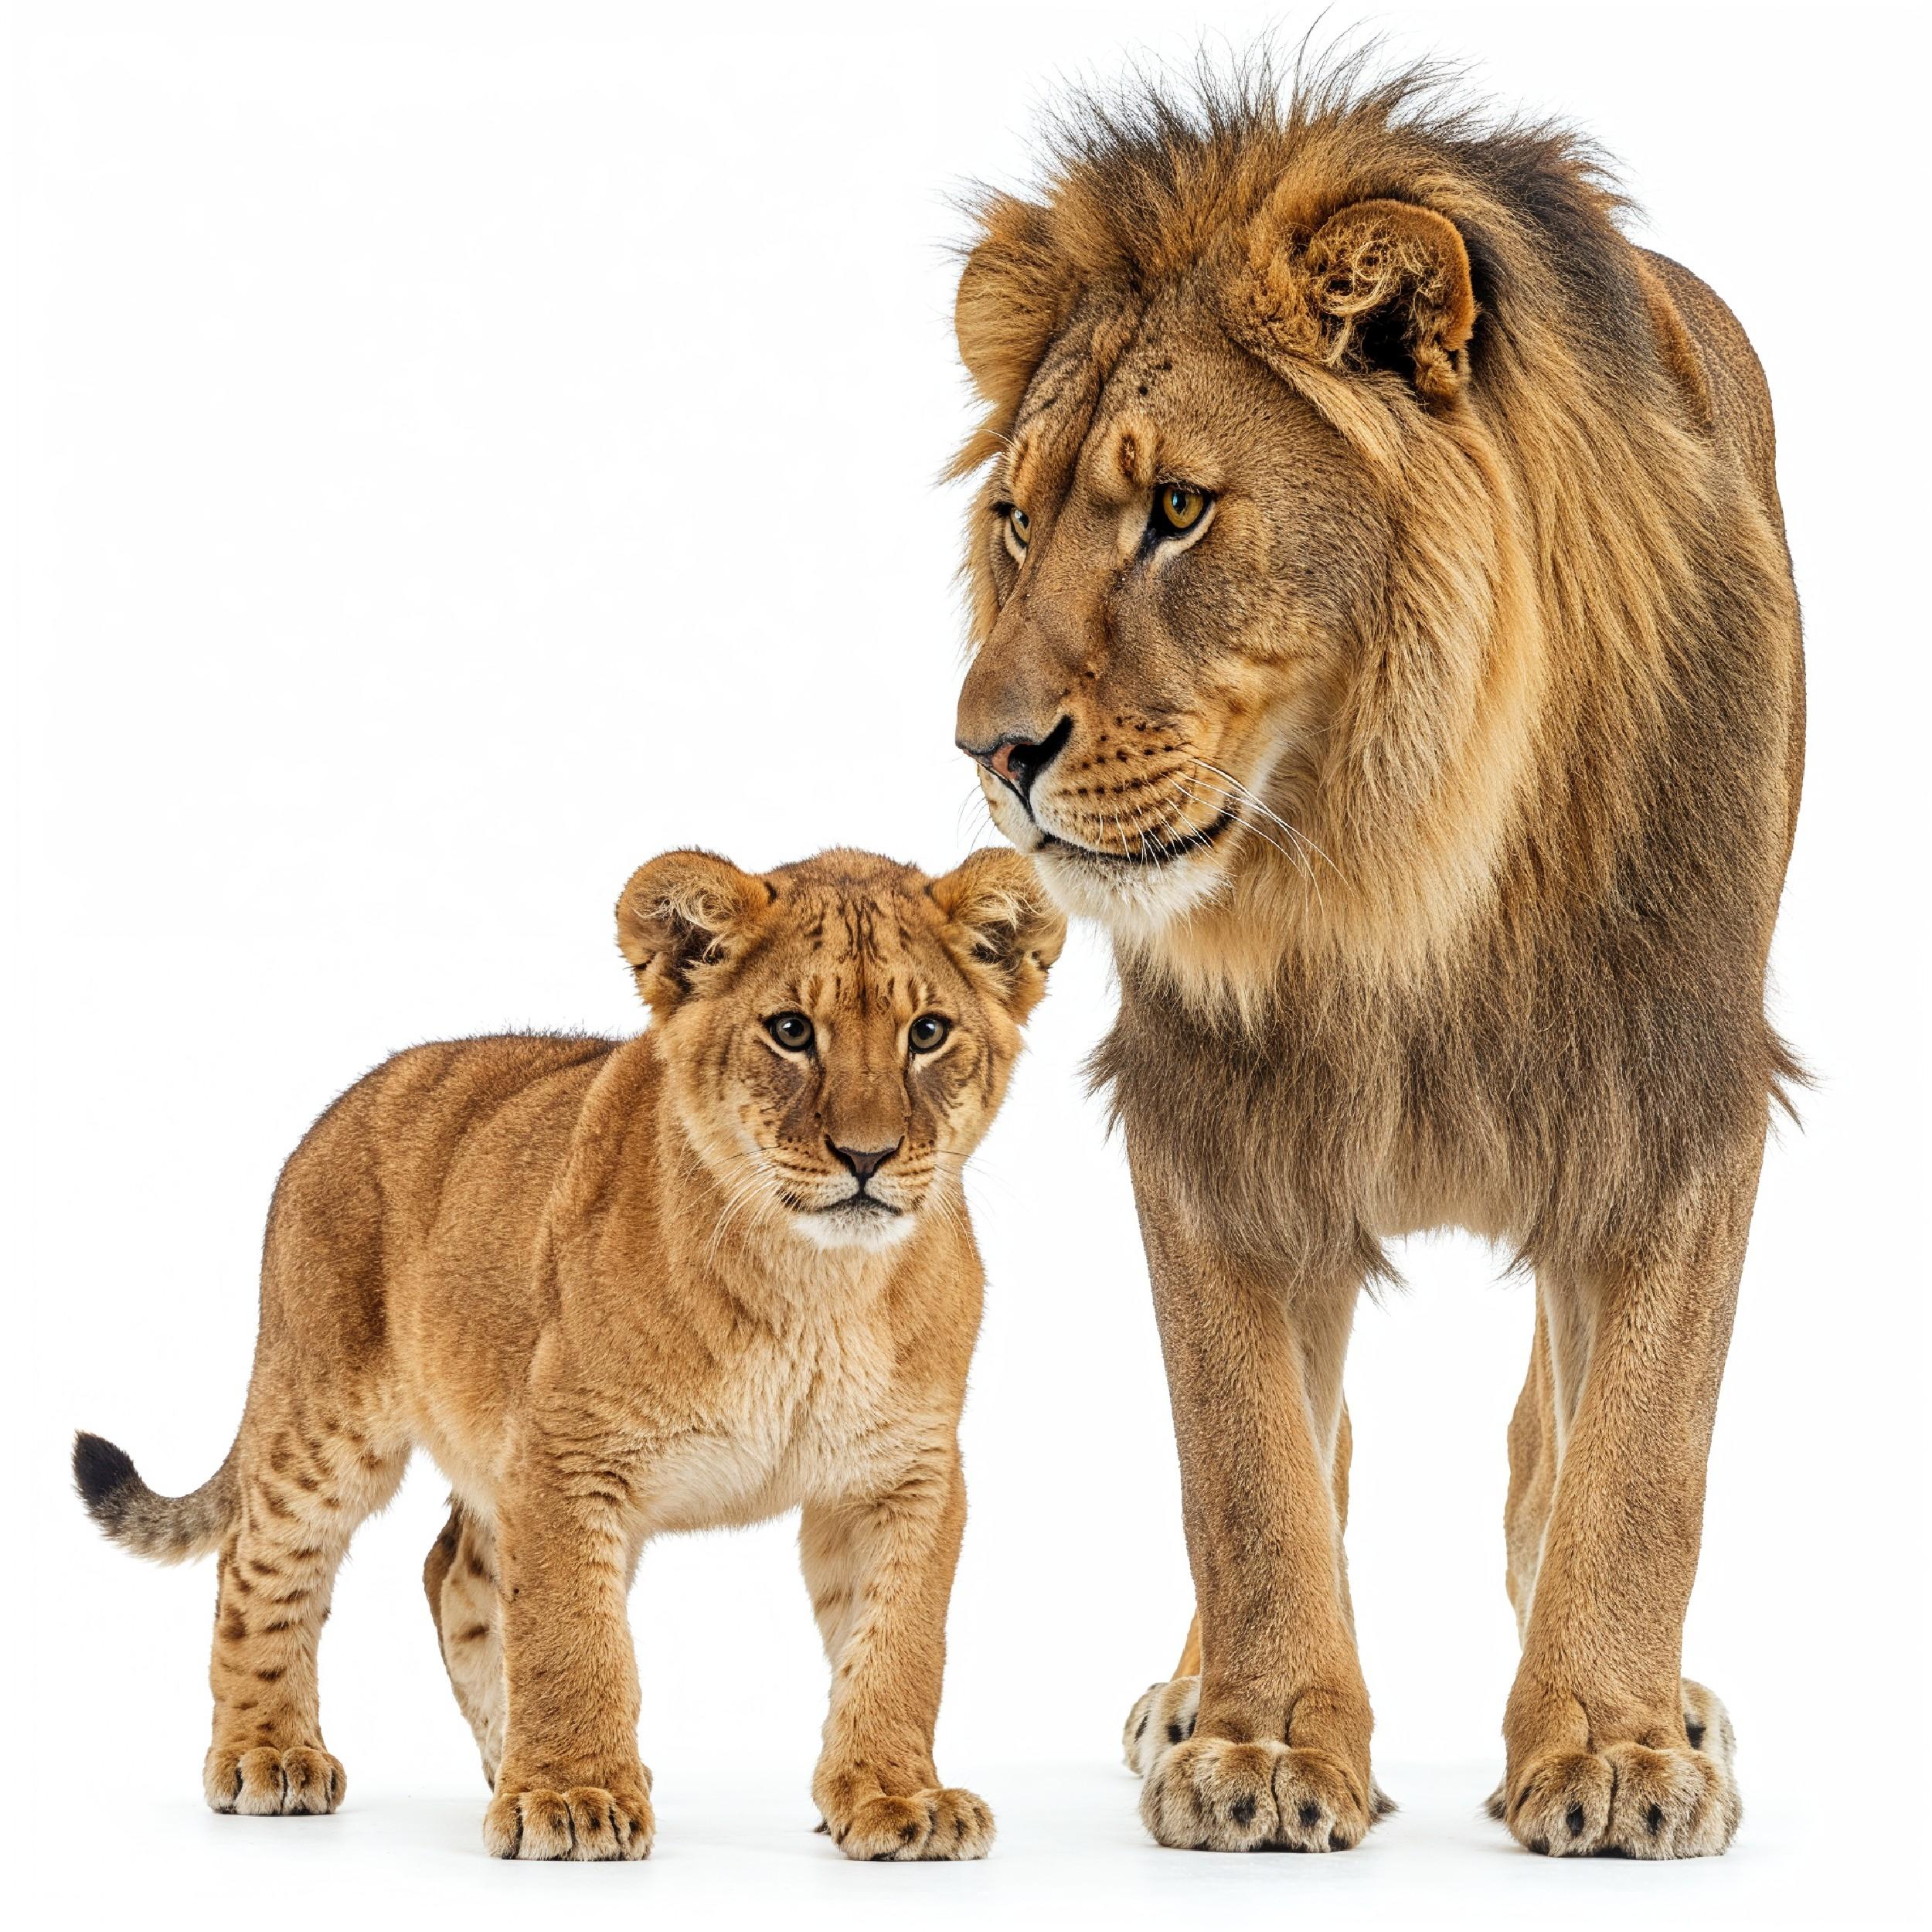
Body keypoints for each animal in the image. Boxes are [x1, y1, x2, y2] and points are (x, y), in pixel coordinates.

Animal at [74, 845, 1063, 1862]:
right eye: (791, 1031)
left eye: (928, 1032)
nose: (867, 1156)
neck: (814, 1287)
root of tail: (346, 1102)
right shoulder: (565, 1451)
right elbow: (573, 1637)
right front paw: (574, 1795)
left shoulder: (904, 1471)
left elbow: (897, 1642)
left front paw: (898, 1796)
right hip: (321, 1407)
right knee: (262, 1559)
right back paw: (270, 1754)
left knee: (455, 1574)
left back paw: (503, 1758)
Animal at [952, 57, 1801, 1859]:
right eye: (1011, 523)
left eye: (1178, 511)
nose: (988, 750)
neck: (1384, 863)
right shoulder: (1207, 1120)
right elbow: (1248, 1465)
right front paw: (1263, 1739)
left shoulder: (1679, 1094)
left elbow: (1638, 1455)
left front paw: (1619, 1745)